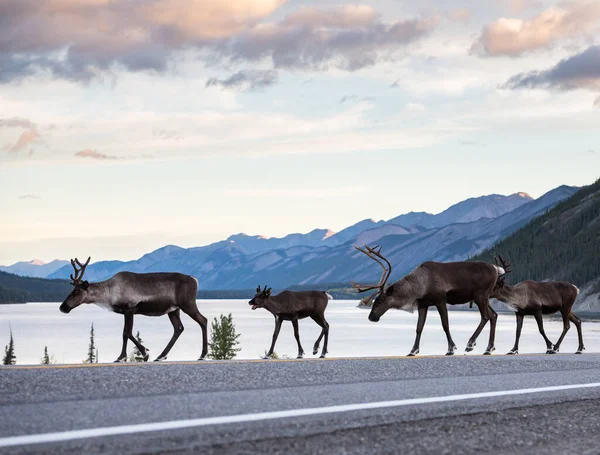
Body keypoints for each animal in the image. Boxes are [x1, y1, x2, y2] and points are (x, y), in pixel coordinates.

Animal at [59, 260, 207, 364]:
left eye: (76, 291)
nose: (62, 307)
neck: (110, 294)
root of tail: (195, 280)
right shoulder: (128, 311)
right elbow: (129, 333)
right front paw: (145, 352)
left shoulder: (129, 309)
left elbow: (126, 333)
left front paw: (122, 357)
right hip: (173, 309)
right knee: (178, 328)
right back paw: (161, 356)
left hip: (187, 304)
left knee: (203, 320)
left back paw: (202, 355)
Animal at [354, 246, 504, 356]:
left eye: (380, 300)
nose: (371, 317)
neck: (420, 286)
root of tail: (496, 269)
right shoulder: (423, 305)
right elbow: (419, 328)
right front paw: (413, 350)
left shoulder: (440, 300)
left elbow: (445, 325)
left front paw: (451, 348)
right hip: (484, 298)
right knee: (494, 315)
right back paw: (489, 348)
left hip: (480, 295)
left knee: (486, 316)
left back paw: (470, 344)